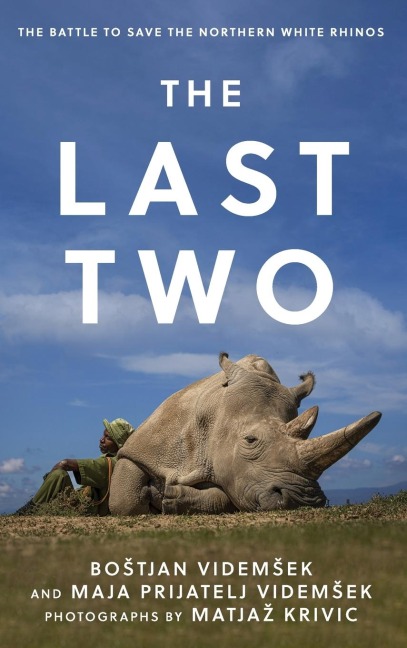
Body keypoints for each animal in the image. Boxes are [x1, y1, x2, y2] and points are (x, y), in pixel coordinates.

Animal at [109, 353, 381, 514]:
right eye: (250, 440)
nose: (302, 500)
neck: (214, 414)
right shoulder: (144, 447)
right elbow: (125, 500)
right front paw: (153, 497)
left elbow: (227, 496)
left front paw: (169, 498)